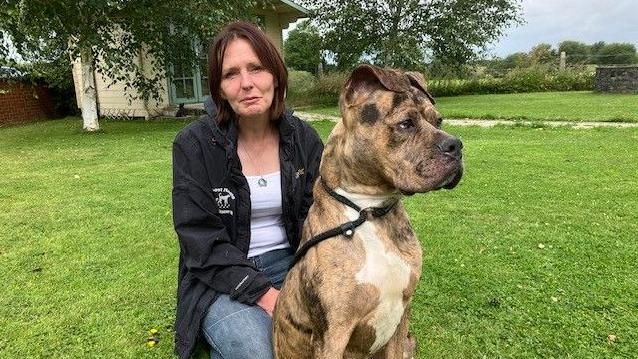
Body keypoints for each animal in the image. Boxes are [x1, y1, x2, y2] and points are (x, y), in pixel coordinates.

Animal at [272, 65, 462, 359]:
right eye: (406, 124)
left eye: (438, 121)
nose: (456, 145)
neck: (368, 210)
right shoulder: (331, 335)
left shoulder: (402, 318)